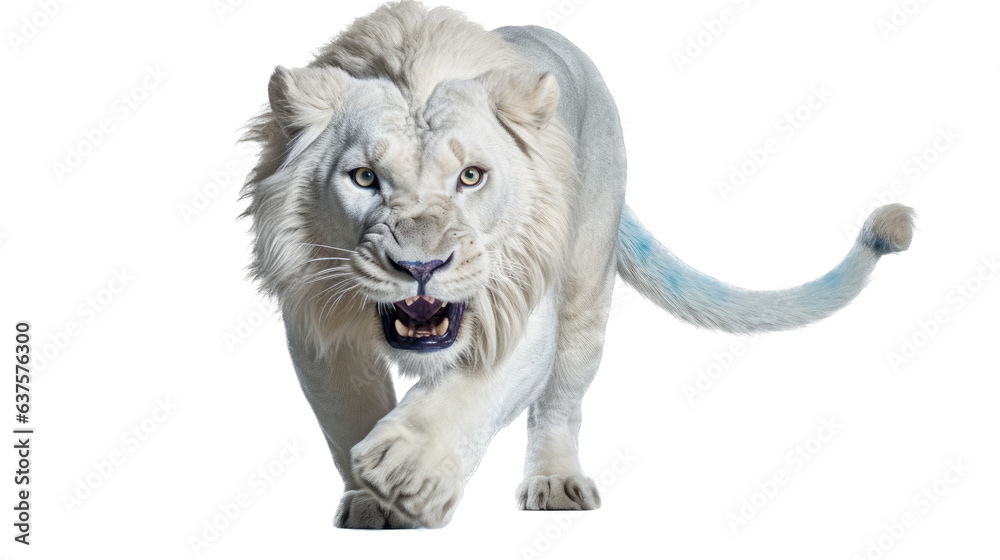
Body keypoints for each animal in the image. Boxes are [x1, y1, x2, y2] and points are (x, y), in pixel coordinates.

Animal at [240, 1, 914, 529]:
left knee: (562, 399)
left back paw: (556, 484)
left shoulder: (524, 300)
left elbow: (472, 389)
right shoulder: (314, 321)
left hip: (586, 286)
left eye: (470, 176)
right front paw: (372, 500)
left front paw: (404, 469)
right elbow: (346, 409)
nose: (421, 265)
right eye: (364, 178)